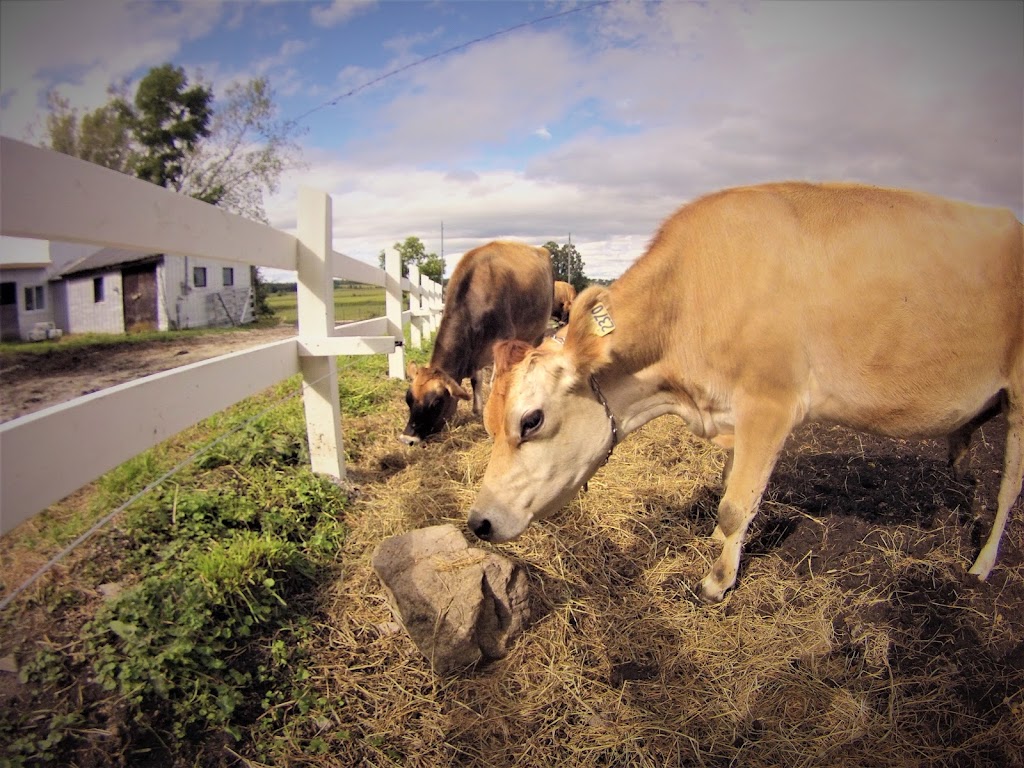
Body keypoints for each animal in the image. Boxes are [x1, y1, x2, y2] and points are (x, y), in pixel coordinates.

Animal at [399, 240, 552, 444]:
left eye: (436, 403)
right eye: (408, 398)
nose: (407, 438)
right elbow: (476, 380)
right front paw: (477, 409)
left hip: (539, 330)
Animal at [466, 183, 1024, 606]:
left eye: (531, 420)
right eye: (489, 424)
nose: (478, 522)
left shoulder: (770, 406)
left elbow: (737, 504)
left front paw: (716, 581)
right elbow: (730, 487)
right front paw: (717, 544)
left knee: (1009, 486)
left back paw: (981, 565)